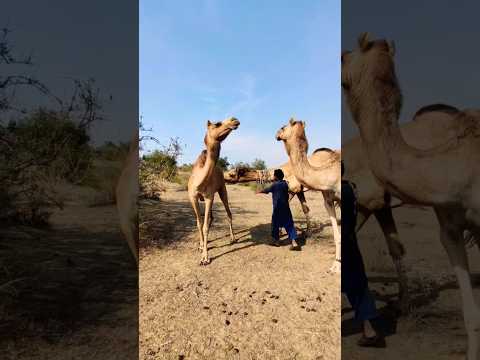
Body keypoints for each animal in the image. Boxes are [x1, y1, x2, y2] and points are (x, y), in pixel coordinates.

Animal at [188, 117, 240, 264]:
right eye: (217, 124)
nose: (235, 120)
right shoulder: (193, 197)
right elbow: (199, 223)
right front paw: (201, 246)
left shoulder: (209, 197)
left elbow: (204, 226)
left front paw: (205, 258)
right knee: (211, 217)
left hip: (222, 189)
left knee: (228, 213)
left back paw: (232, 238)